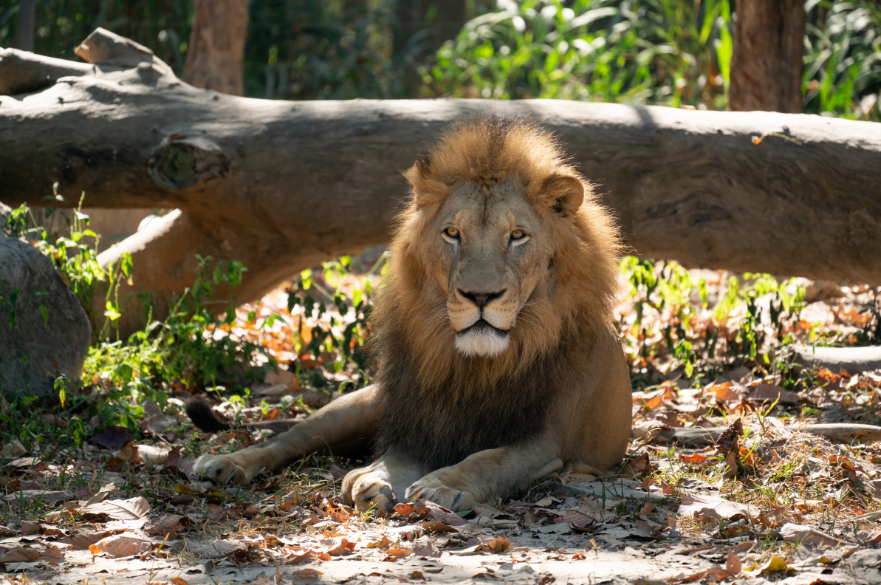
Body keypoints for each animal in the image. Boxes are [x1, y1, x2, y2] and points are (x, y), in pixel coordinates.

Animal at [192, 115, 633, 512]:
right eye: (452, 233)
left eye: (518, 236)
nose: (481, 296)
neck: (476, 365)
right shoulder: (419, 421)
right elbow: (397, 458)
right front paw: (374, 477)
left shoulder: (545, 440)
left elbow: (489, 460)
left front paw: (443, 485)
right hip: (360, 406)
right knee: (288, 440)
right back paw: (225, 463)